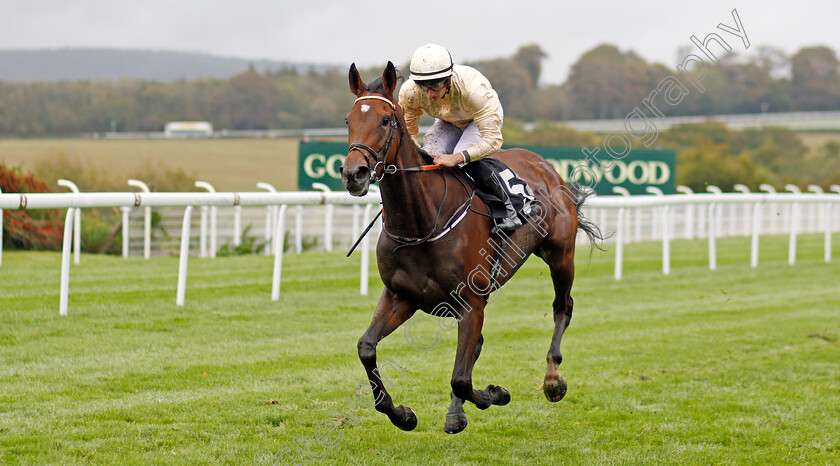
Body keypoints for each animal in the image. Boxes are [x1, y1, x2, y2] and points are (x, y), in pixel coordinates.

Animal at [338, 61, 600, 434]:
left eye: (385, 120)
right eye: (348, 119)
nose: (353, 173)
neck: (422, 221)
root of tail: (546, 166)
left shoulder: (470, 302)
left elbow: (461, 378)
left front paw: (495, 394)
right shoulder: (401, 296)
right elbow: (366, 348)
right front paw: (402, 414)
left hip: (561, 255)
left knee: (563, 307)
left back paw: (553, 379)